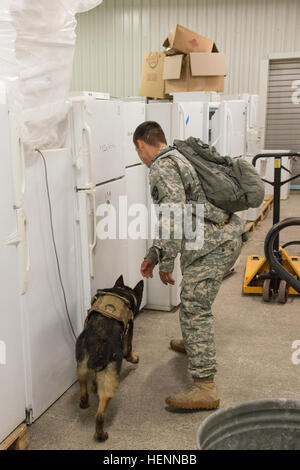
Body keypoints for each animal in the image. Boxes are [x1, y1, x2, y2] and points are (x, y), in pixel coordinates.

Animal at [76, 276, 144, 440]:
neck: (122, 292)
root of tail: (97, 341)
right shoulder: (129, 330)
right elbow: (128, 350)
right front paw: (133, 358)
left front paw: (94, 386)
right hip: (109, 379)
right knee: (100, 414)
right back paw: (101, 434)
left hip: (81, 366)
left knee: (83, 385)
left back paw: (85, 401)